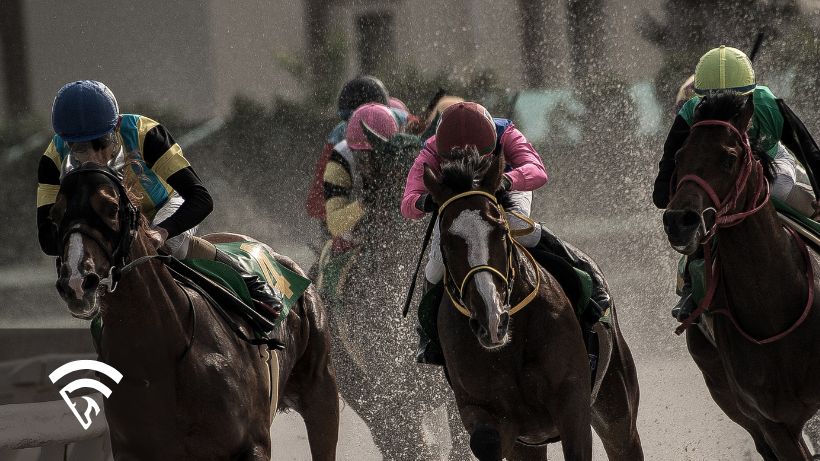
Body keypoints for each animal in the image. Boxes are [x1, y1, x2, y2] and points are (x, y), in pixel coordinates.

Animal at [51, 165, 340, 460]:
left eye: (110, 207)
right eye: (55, 214)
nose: (77, 282)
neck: (159, 362)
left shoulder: (253, 444)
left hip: (321, 388)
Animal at [422, 149, 648, 458]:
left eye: (500, 230)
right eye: (446, 241)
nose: (491, 320)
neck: (509, 347)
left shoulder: (572, 403)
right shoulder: (488, 413)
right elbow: (485, 440)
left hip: (616, 400)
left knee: (622, 438)